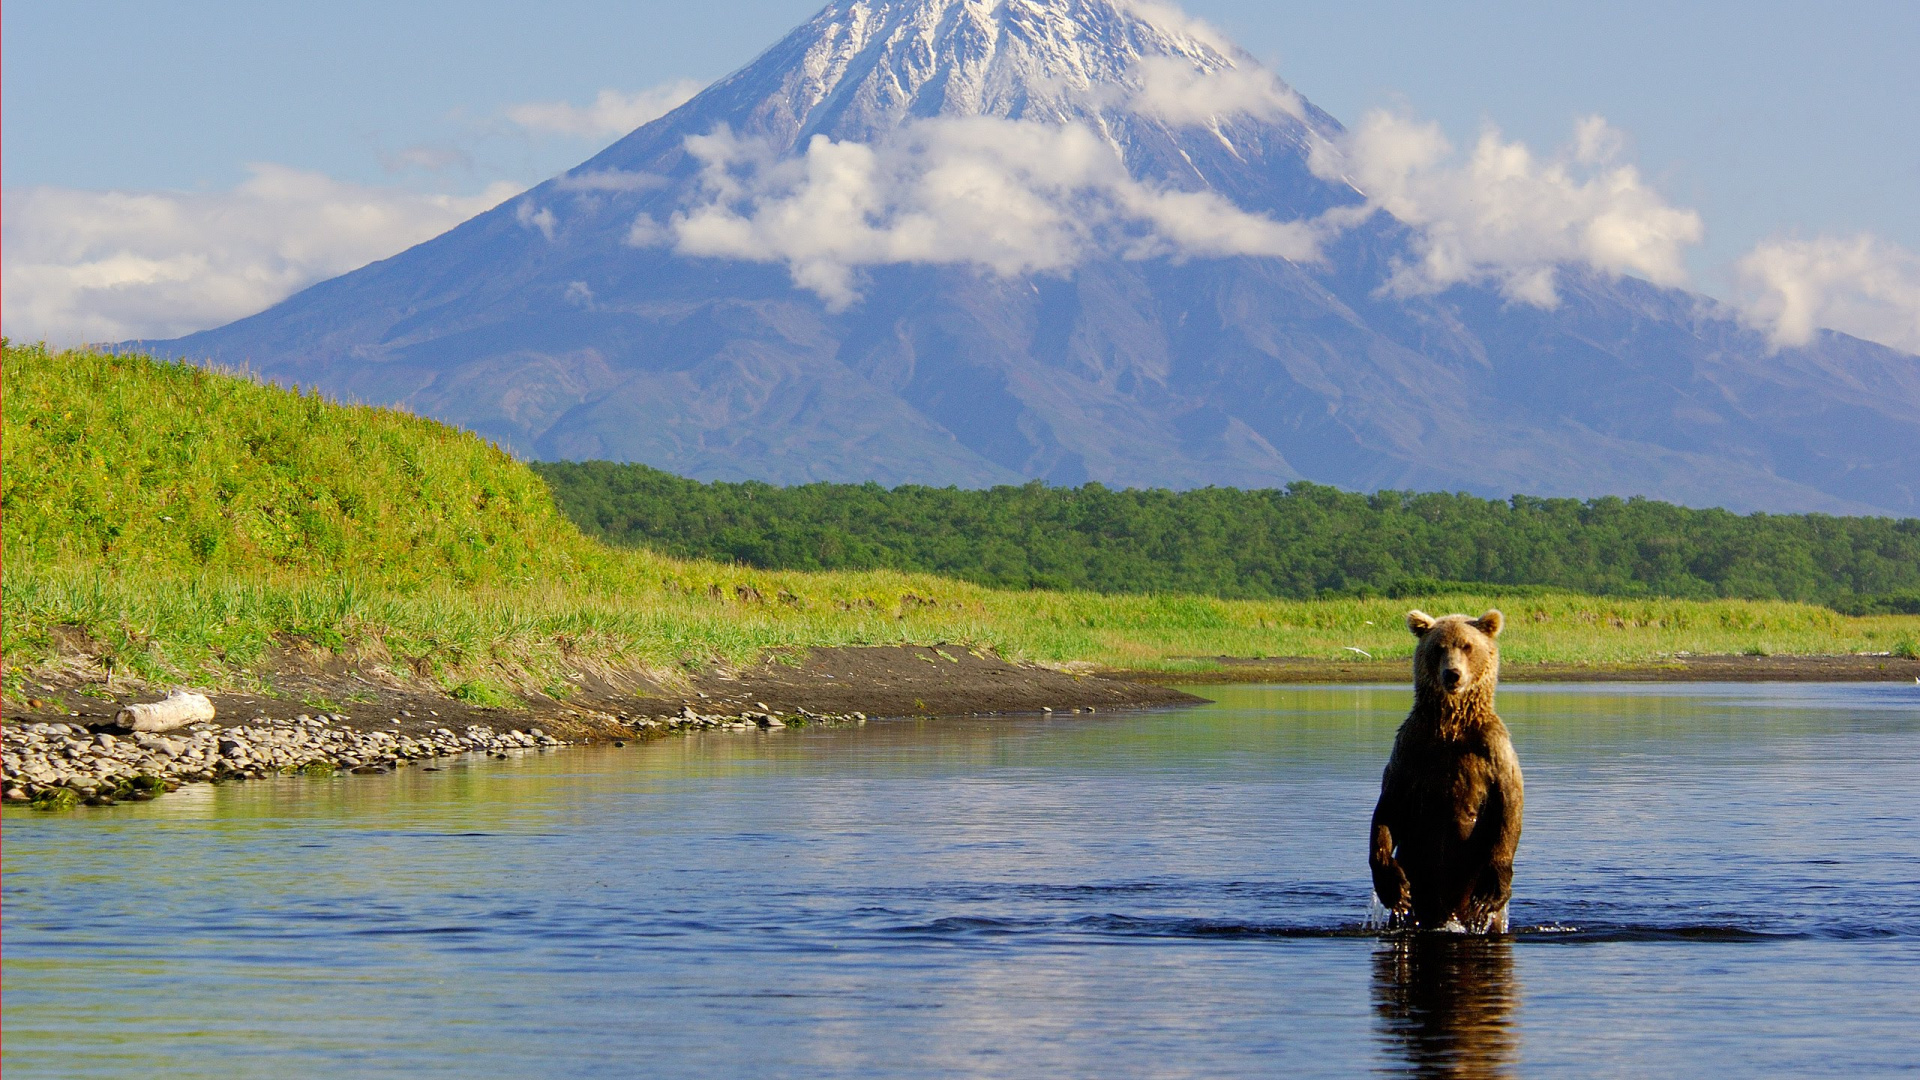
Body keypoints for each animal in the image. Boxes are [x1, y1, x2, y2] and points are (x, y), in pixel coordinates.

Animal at [1374, 611, 1520, 930]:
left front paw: (1493, 889)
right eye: (1438, 647)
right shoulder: (1411, 748)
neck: (1451, 726)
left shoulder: (1492, 749)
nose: (1452, 674)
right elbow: (1388, 808)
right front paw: (1393, 886)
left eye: (1467, 646)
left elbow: (1509, 805)